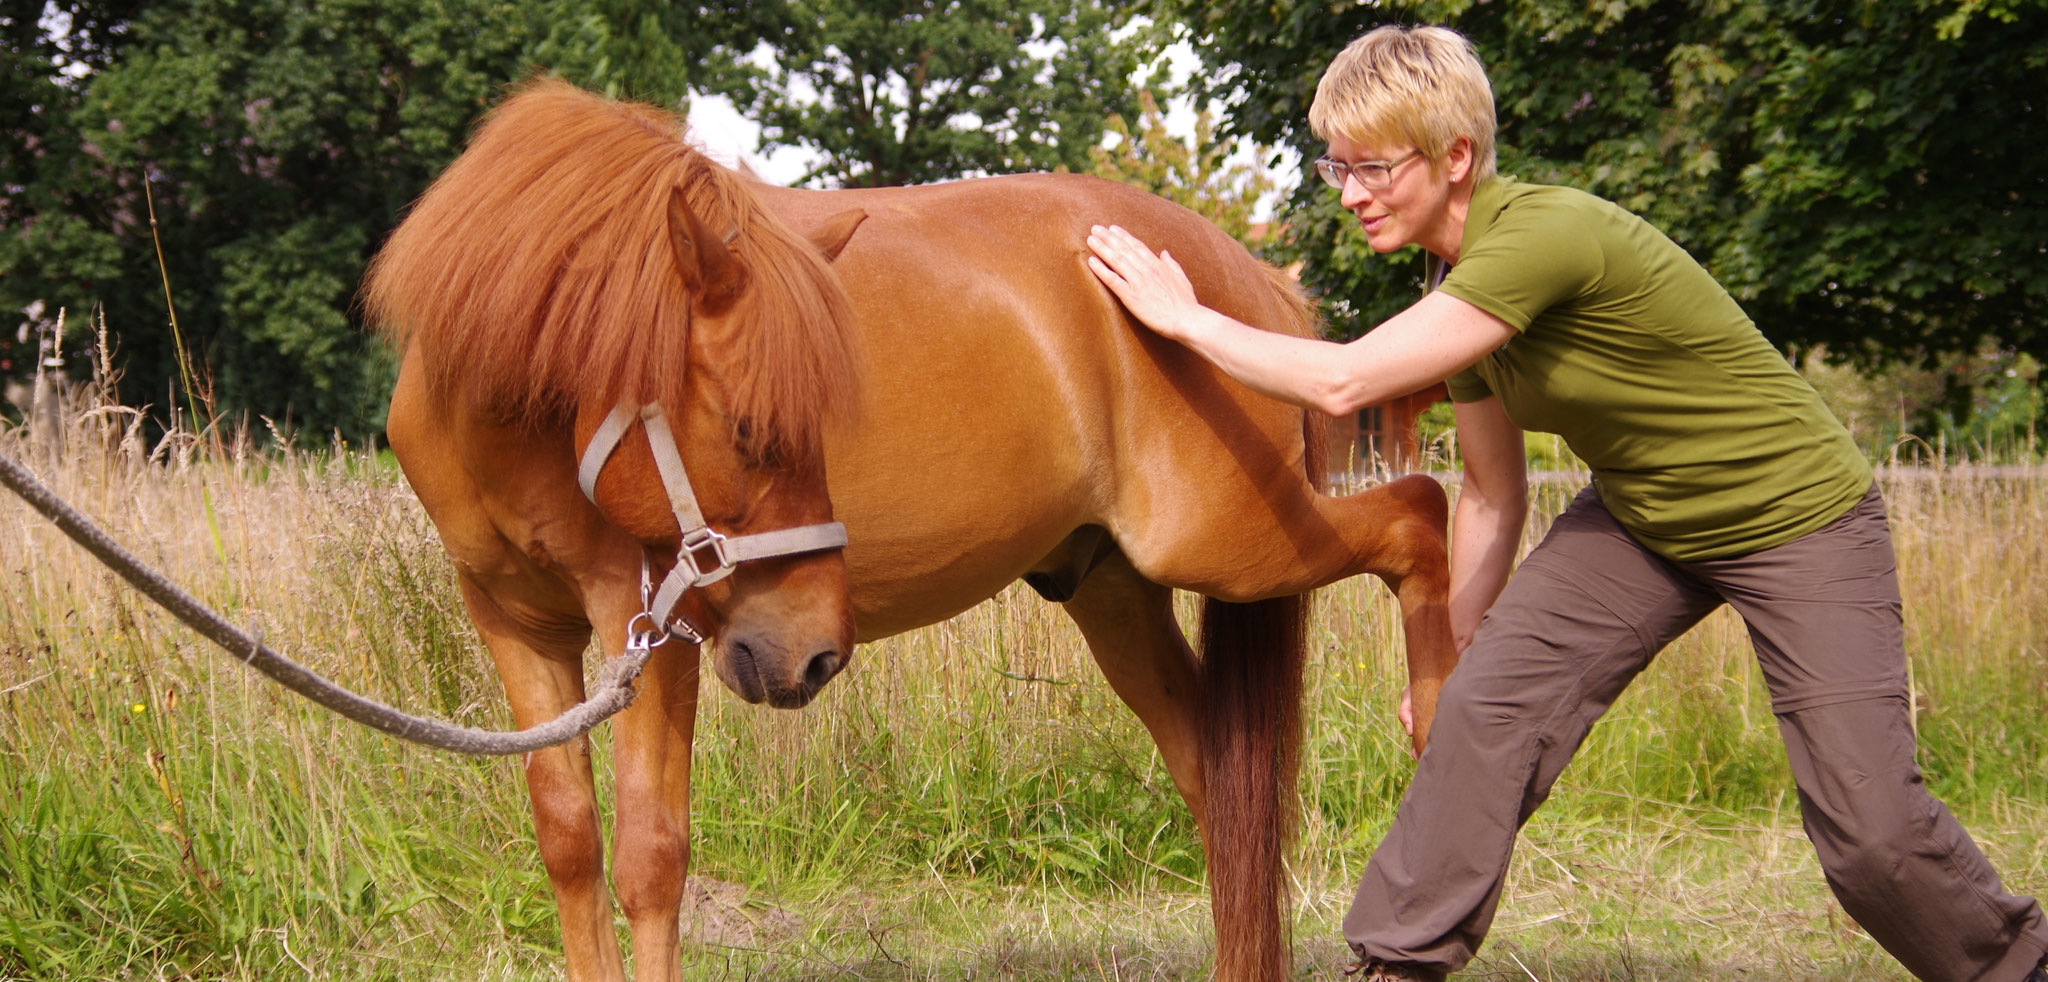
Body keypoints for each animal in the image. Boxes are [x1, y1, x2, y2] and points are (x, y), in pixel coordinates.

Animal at [368, 82, 1458, 982]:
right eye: (752, 431)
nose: (812, 654)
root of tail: (1243, 272)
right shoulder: (515, 622)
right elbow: (569, 844)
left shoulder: (651, 625)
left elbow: (649, 856)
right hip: (1114, 585)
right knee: (1222, 785)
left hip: (1231, 538)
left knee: (1420, 520)